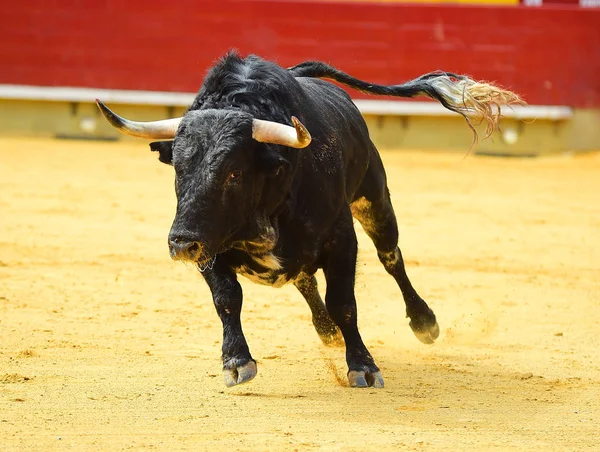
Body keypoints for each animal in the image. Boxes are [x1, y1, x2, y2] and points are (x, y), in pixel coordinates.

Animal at [97, 51, 520, 386]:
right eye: (179, 167)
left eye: (234, 172)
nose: (181, 243)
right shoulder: (211, 242)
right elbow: (227, 298)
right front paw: (236, 361)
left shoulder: (341, 240)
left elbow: (344, 301)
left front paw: (363, 366)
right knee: (304, 278)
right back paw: (327, 330)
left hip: (375, 200)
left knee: (391, 258)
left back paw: (423, 322)